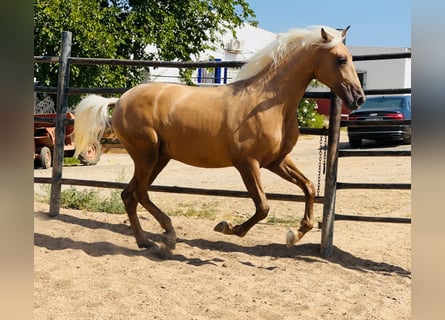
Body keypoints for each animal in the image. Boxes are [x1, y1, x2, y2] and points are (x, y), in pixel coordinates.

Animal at [73, 25, 364, 252]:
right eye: (340, 59)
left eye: (350, 58)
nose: (358, 98)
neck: (269, 103)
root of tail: (119, 100)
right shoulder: (247, 163)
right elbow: (263, 206)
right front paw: (227, 227)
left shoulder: (277, 161)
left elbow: (309, 188)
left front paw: (295, 234)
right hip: (146, 155)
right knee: (141, 193)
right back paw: (168, 235)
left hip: (159, 157)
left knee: (130, 194)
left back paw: (146, 241)